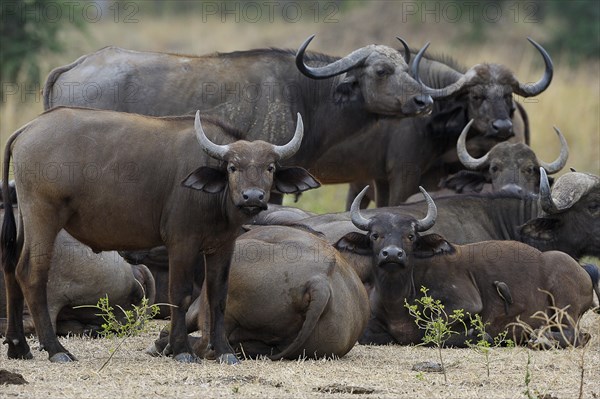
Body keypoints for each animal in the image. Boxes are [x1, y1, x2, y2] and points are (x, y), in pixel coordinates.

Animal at [1, 108, 318, 364]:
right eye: (232, 167)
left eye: (270, 167)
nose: (252, 197)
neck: (213, 196)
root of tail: (27, 129)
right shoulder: (182, 243)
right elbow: (181, 293)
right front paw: (181, 350)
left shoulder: (223, 246)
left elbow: (218, 295)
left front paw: (224, 350)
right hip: (43, 217)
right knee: (31, 273)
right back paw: (56, 349)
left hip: (25, 219)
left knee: (11, 267)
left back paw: (18, 347)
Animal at [340, 188, 596, 346]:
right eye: (375, 235)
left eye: (410, 236)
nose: (392, 254)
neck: (396, 295)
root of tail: (583, 274)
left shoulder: (466, 302)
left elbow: (431, 331)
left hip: (564, 305)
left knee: (577, 335)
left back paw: (540, 339)